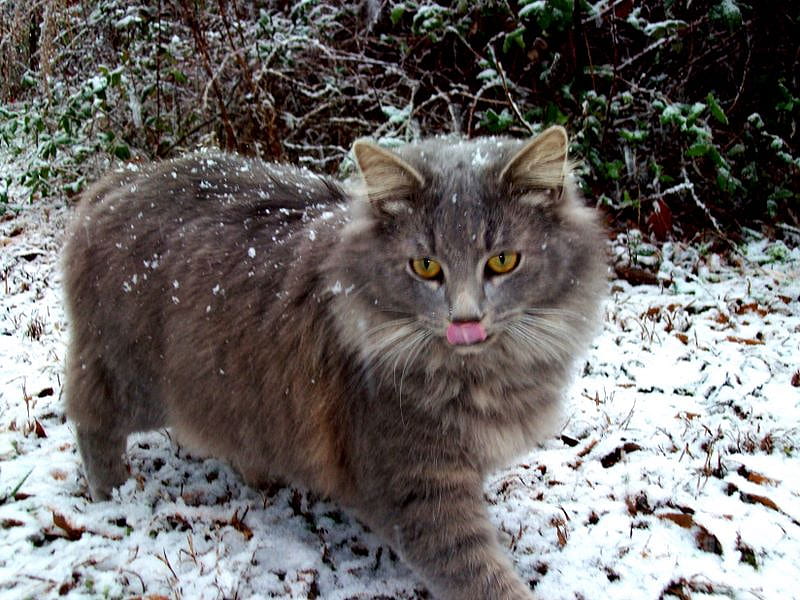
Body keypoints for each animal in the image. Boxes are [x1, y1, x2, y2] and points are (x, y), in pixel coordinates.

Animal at [64, 124, 608, 596]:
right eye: (425, 267)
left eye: (502, 261)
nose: (465, 321)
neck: (477, 373)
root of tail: (124, 177)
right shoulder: (416, 486)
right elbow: (480, 576)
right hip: (133, 376)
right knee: (90, 416)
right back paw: (113, 494)